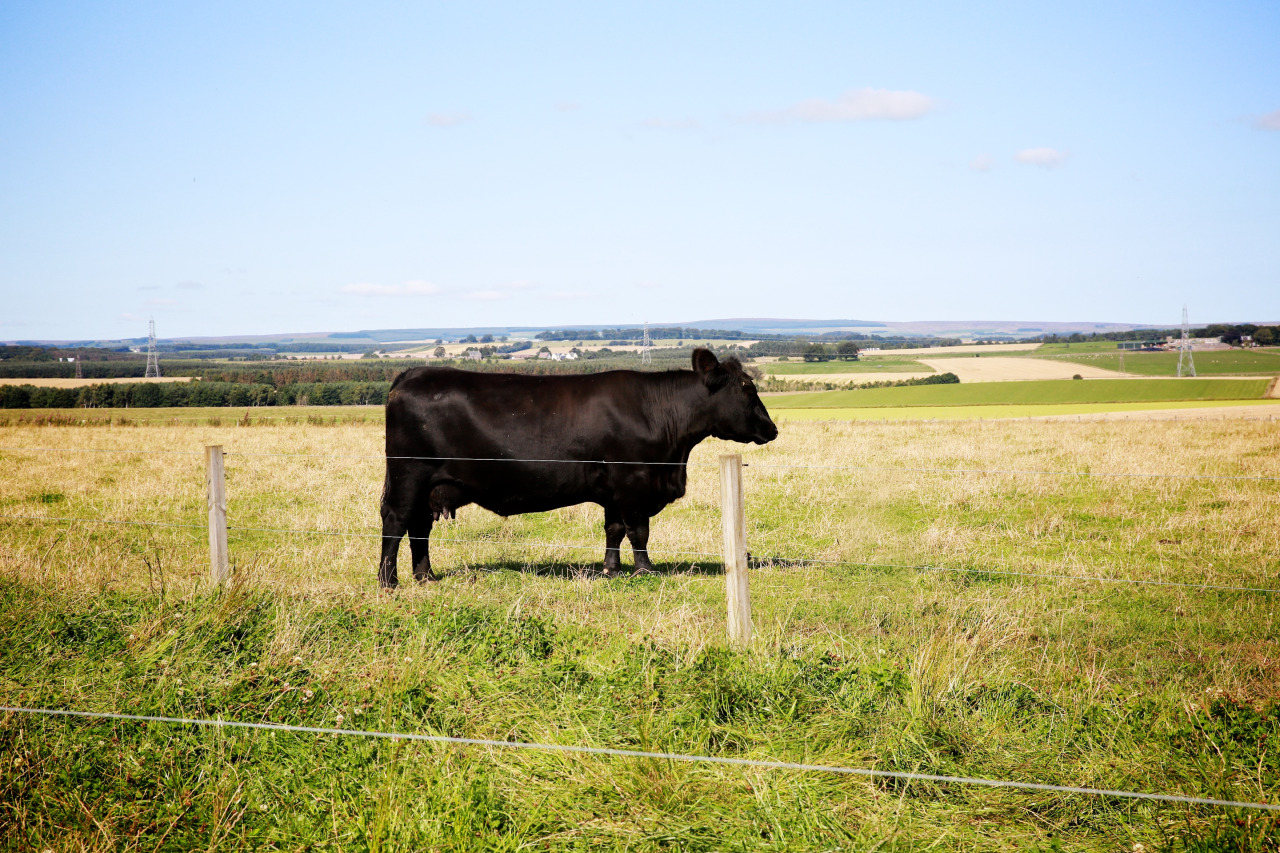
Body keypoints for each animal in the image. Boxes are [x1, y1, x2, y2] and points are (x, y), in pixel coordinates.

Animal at [376, 345, 778, 584]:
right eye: (747, 389)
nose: (772, 429)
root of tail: (412, 373)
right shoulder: (633, 482)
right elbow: (639, 530)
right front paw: (645, 570)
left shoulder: (614, 490)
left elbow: (614, 530)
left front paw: (612, 570)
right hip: (409, 472)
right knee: (396, 521)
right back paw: (388, 580)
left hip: (430, 483)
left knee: (420, 527)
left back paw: (425, 576)